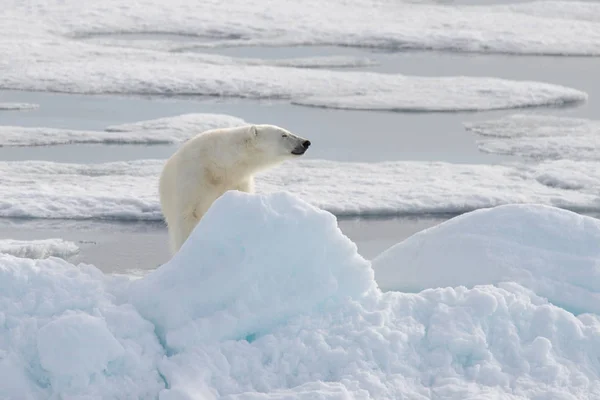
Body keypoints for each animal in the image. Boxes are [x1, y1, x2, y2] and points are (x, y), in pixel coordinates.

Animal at [157, 123, 312, 255]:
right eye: (283, 134)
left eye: (287, 131)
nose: (306, 142)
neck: (218, 163)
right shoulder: (192, 178)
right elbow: (189, 215)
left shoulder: (239, 181)